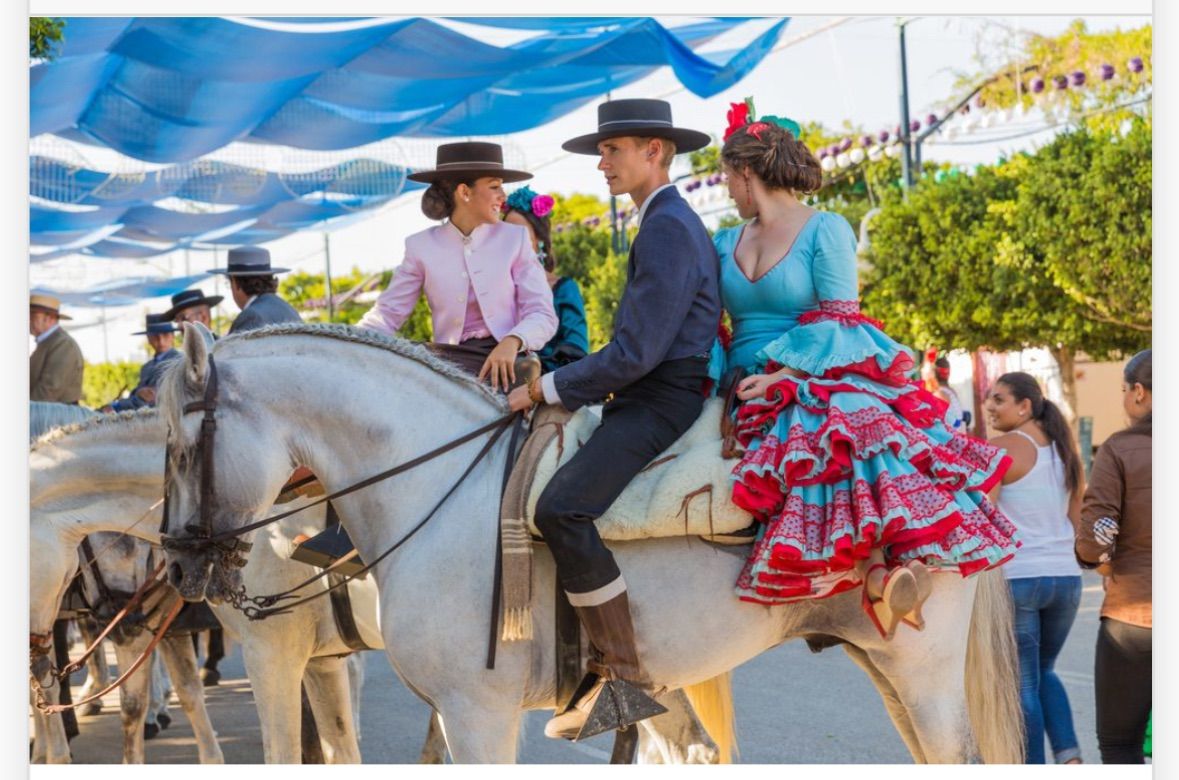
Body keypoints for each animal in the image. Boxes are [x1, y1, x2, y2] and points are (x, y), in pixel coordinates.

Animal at [156, 327, 1023, 768]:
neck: (440, 488)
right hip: (877, 662)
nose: (180, 563)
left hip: (922, 671)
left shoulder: (474, 714)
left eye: (179, 447)